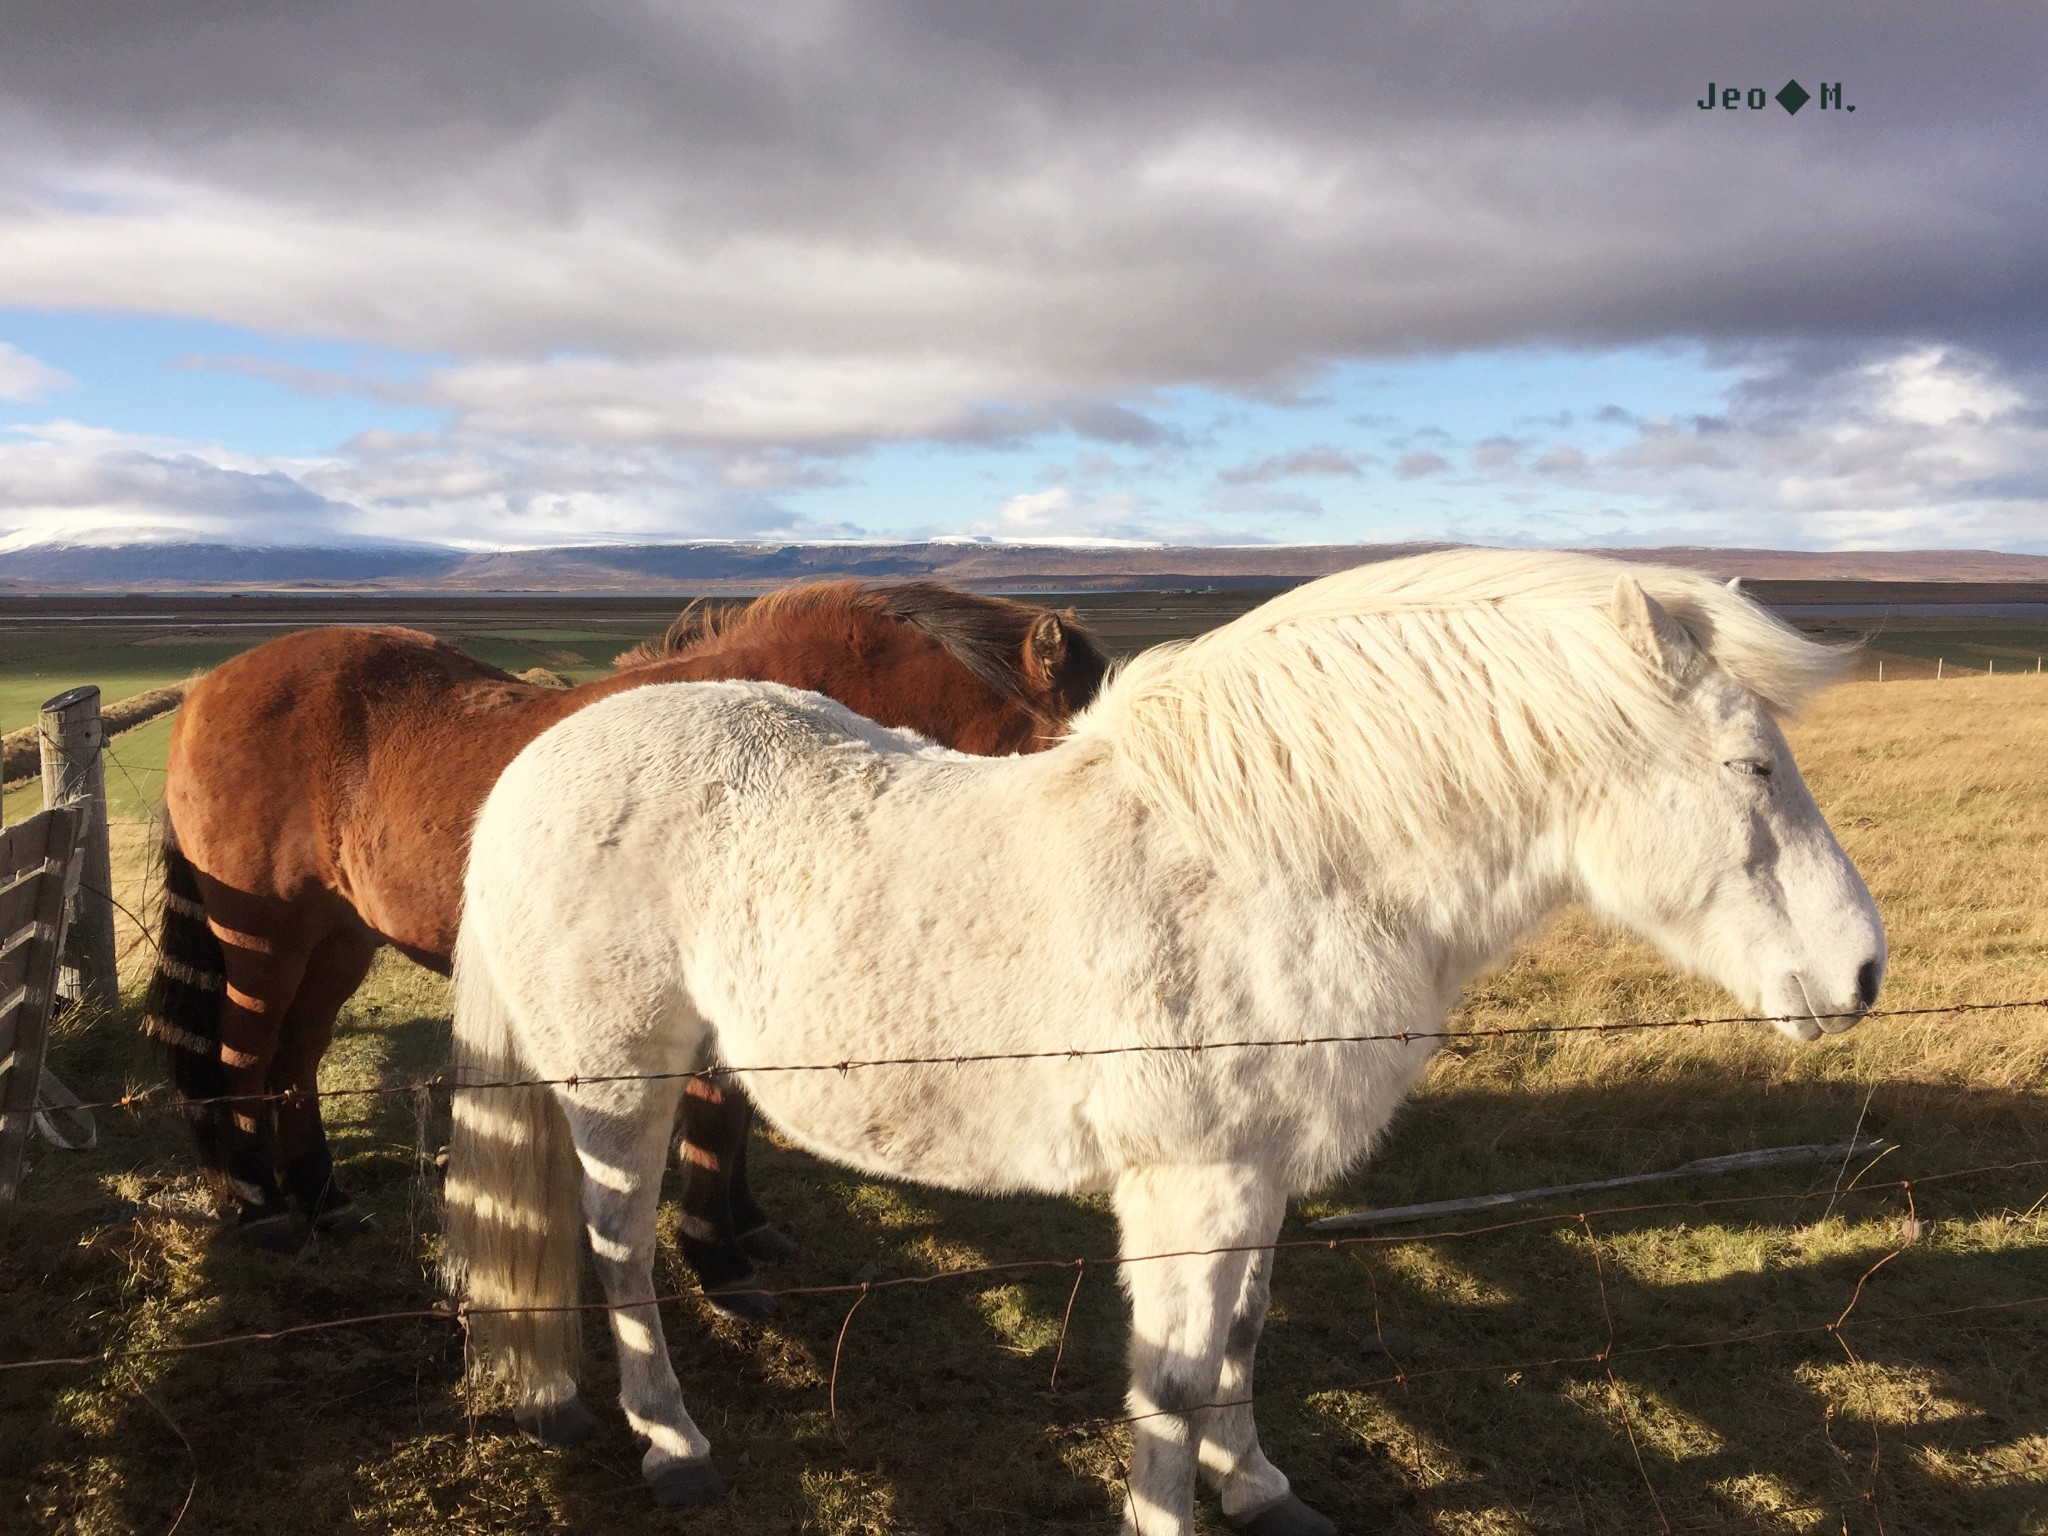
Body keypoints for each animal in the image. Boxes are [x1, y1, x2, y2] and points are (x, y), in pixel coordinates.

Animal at [142, 581, 1105, 1302]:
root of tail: (206, 688)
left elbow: (734, 1121)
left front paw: (748, 1228)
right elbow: (716, 1121)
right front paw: (719, 1256)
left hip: (339, 939)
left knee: (294, 1063)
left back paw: (324, 1199)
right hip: (266, 938)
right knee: (241, 1057)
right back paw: (263, 1206)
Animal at [440, 548, 1875, 1531]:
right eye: (1751, 768)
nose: (1860, 972)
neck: (1266, 865)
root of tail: (541, 763)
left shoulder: (1258, 1177)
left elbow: (1240, 1334)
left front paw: (1260, 1486)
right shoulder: (1187, 1185)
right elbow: (1174, 1376)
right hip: (621, 1085)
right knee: (619, 1256)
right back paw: (673, 1443)